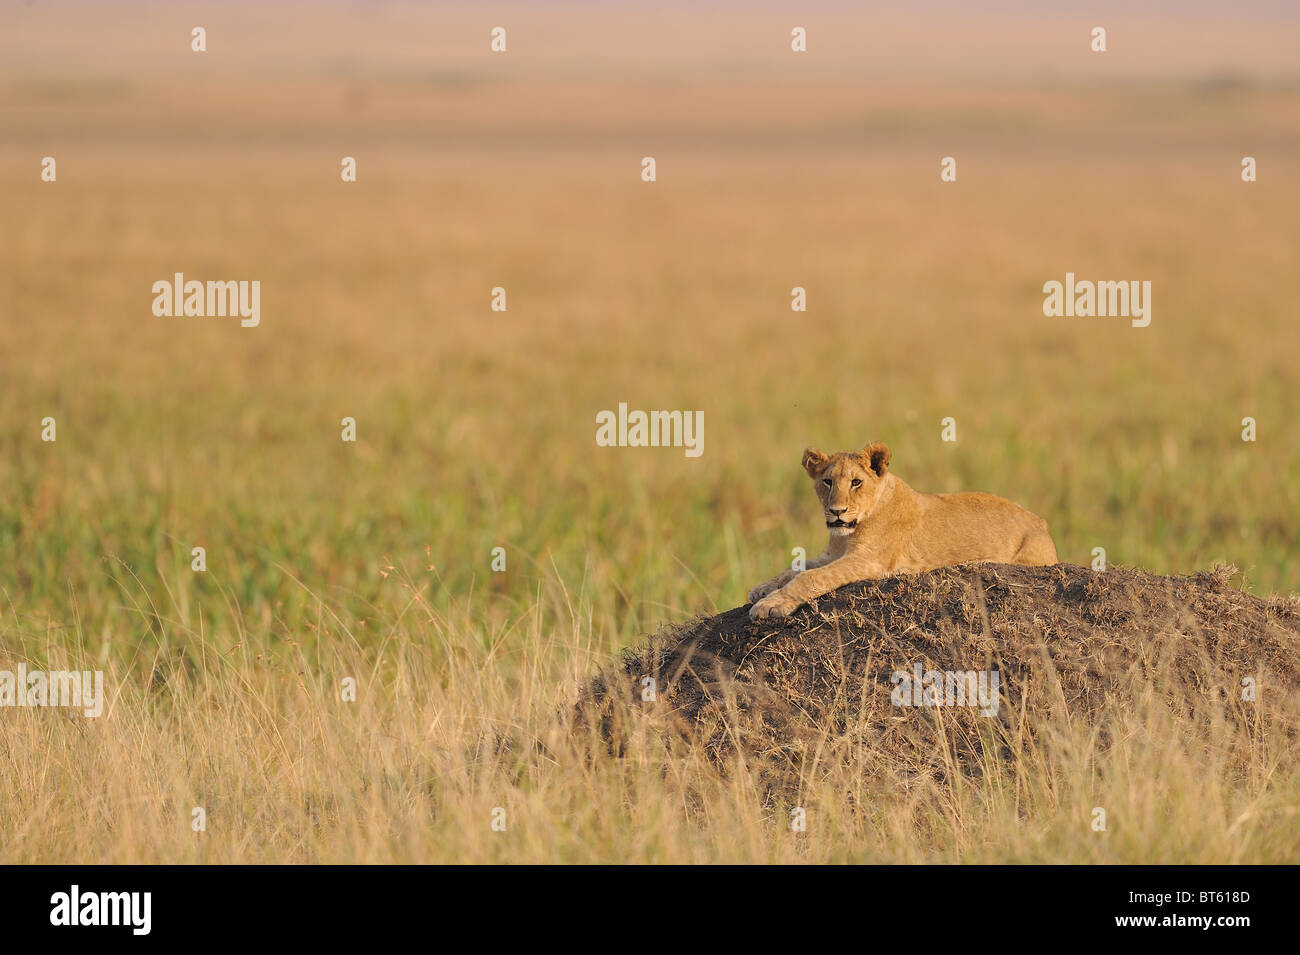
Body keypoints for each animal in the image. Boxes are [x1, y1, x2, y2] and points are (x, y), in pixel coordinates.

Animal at [747, 442, 1058, 620]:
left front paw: (770, 605)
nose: (837, 511)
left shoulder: (868, 560)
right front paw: (762, 588)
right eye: (827, 482)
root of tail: (1042, 522)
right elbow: (795, 569)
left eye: (856, 482)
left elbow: (810, 578)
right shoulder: (830, 555)